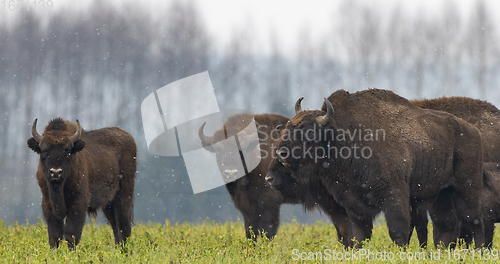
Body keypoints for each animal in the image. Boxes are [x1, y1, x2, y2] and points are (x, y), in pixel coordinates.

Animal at [26, 118, 137, 249]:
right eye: (44, 150)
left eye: (68, 150)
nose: (56, 172)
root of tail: (129, 138)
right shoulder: (48, 204)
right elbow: (55, 235)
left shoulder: (78, 203)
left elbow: (71, 234)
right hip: (108, 204)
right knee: (115, 226)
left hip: (124, 195)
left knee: (124, 224)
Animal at [198, 112, 352, 242]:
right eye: (218, 151)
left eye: (241, 150)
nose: (231, 173)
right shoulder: (247, 208)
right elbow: (251, 233)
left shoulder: (269, 205)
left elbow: (267, 232)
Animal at [268, 89, 486, 249]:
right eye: (289, 127)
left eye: (309, 132)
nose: (282, 153)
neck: (346, 137)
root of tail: (473, 131)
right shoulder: (354, 206)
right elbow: (359, 237)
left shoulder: (394, 196)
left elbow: (399, 231)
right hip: (442, 194)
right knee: (445, 225)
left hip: (467, 190)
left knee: (474, 220)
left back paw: (479, 251)